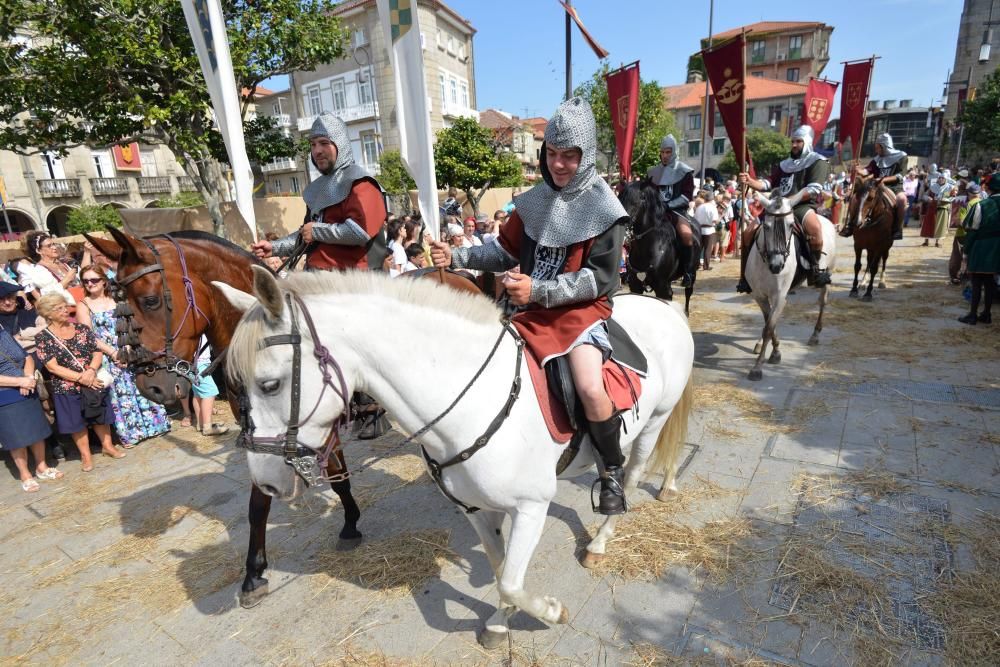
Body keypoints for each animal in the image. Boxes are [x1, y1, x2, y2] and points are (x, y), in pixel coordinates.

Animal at [215, 266, 692, 648]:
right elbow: (501, 571)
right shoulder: (474, 508)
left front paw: (550, 611)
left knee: (630, 476)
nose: (266, 482)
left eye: (270, 384)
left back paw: (601, 539)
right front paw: (500, 624)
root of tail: (664, 307)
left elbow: (513, 581)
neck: (468, 401)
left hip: (652, 422)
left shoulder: (531, 507)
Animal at [744, 192, 836, 380]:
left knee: (823, 302)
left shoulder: (779, 297)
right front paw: (774, 351)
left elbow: (769, 328)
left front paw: (758, 367)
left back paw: (815, 334)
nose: (777, 265)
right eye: (766, 226)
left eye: (791, 225)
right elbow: (768, 323)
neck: (765, 265)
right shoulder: (760, 296)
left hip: (827, 273)